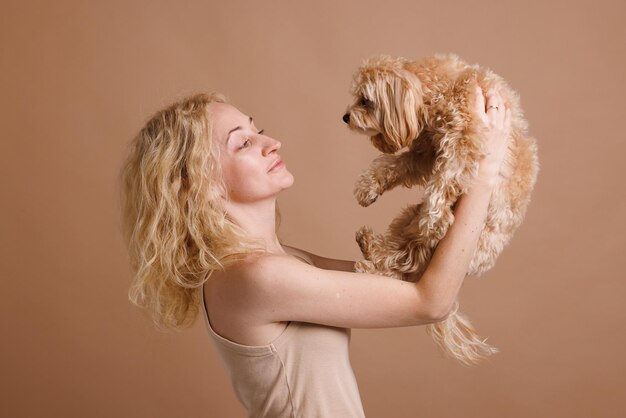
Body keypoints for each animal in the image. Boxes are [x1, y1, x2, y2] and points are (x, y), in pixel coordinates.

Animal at [342, 53, 536, 366]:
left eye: (365, 100)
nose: (345, 117)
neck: (434, 88)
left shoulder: (464, 141)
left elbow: (444, 181)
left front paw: (433, 218)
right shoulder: (425, 153)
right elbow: (394, 165)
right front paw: (367, 188)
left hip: (447, 238)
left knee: (408, 259)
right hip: (408, 219)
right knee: (402, 260)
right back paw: (370, 248)